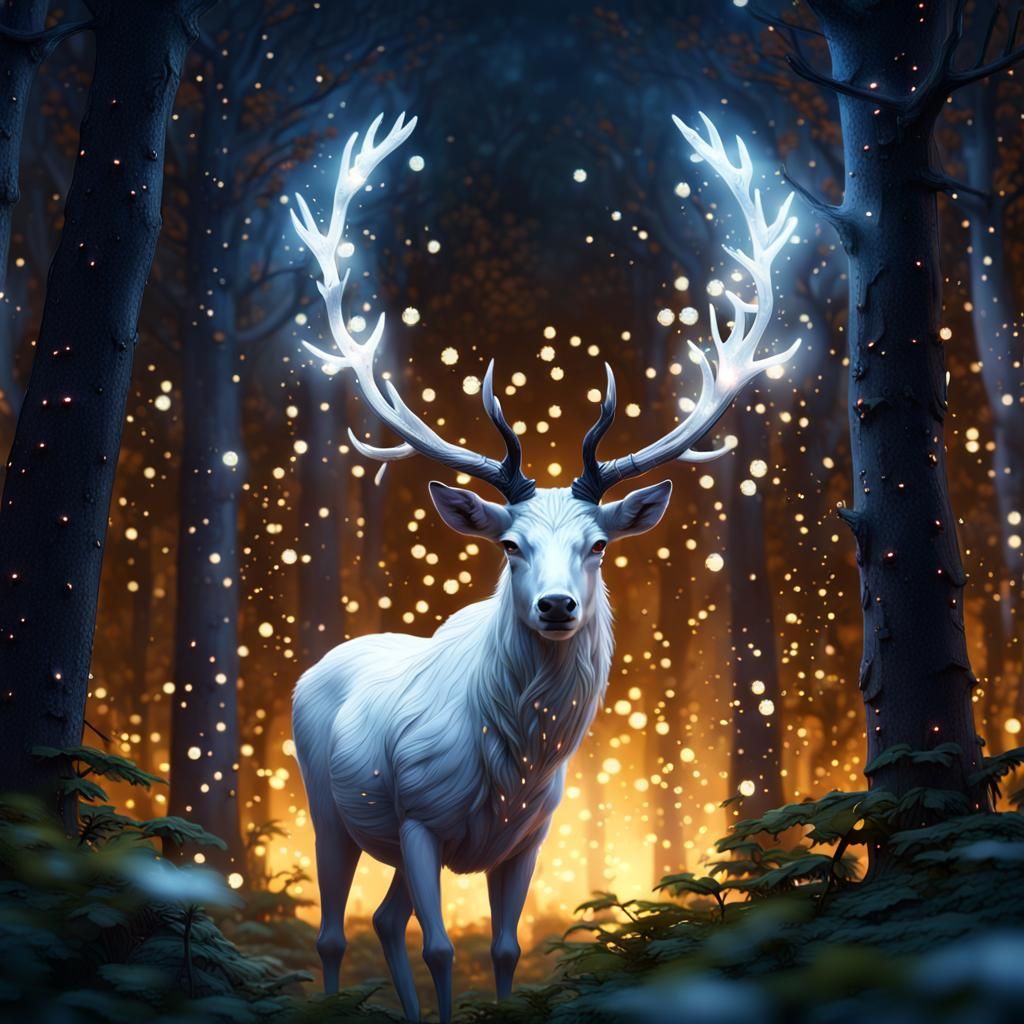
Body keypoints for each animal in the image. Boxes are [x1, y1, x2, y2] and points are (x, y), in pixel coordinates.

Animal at [289, 110, 798, 1023]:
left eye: (598, 544)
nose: (558, 606)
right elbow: (442, 946)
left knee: (381, 920)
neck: (513, 766)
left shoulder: (528, 837)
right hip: (328, 806)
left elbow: (502, 948)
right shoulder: (418, 819)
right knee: (336, 931)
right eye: (509, 545)